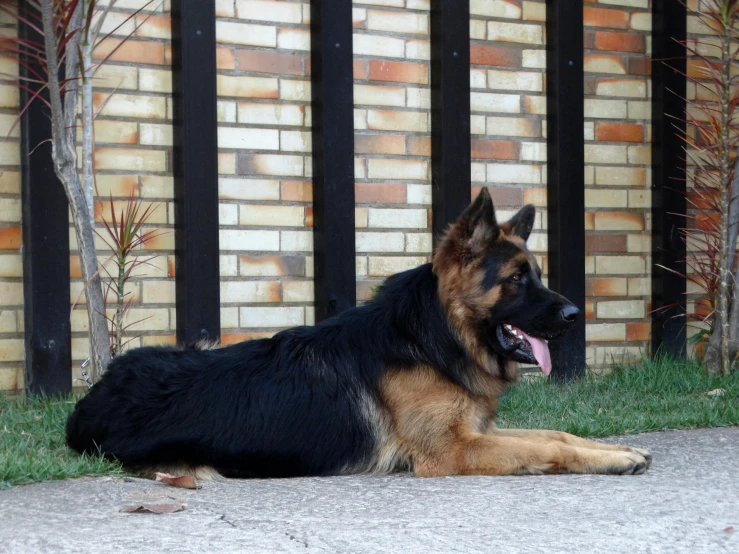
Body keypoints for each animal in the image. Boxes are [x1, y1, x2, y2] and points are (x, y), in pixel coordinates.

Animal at [66, 189, 652, 474]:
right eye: (516, 280)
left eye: (539, 276)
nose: (575, 314)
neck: (433, 337)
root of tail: (95, 396)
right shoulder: (454, 451)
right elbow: (547, 446)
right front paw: (610, 460)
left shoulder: (472, 432)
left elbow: (555, 434)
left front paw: (618, 448)